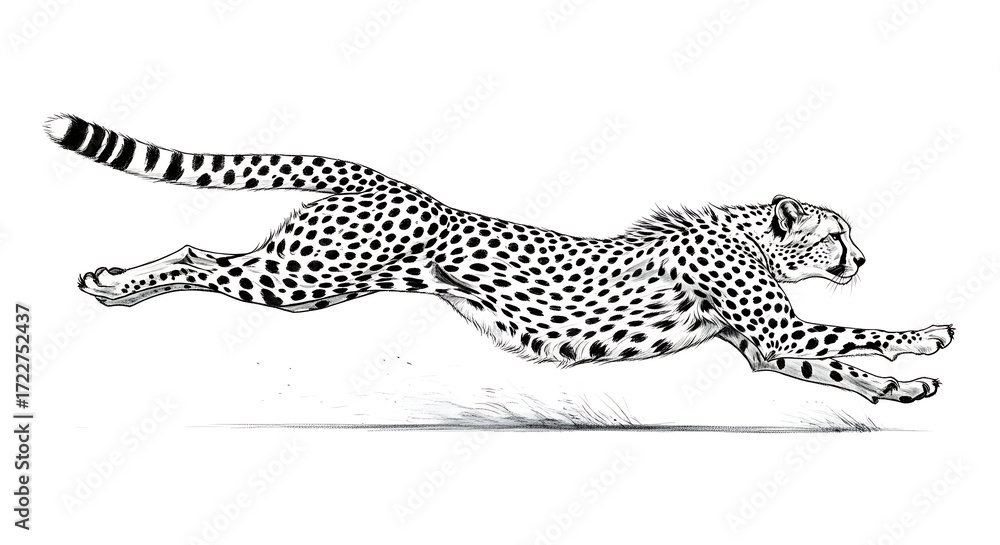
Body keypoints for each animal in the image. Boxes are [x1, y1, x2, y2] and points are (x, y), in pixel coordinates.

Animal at [45, 114, 954, 404]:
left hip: (304, 270)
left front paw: (900, 388)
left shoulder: (764, 347)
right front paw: (930, 339)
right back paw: (118, 286)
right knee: (199, 256)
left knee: (200, 247)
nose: (862, 258)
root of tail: (382, 176)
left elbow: (834, 363)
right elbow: (855, 333)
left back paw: (109, 284)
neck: (748, 233)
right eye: (835, 236)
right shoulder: (777, 329)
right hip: (301, 277)